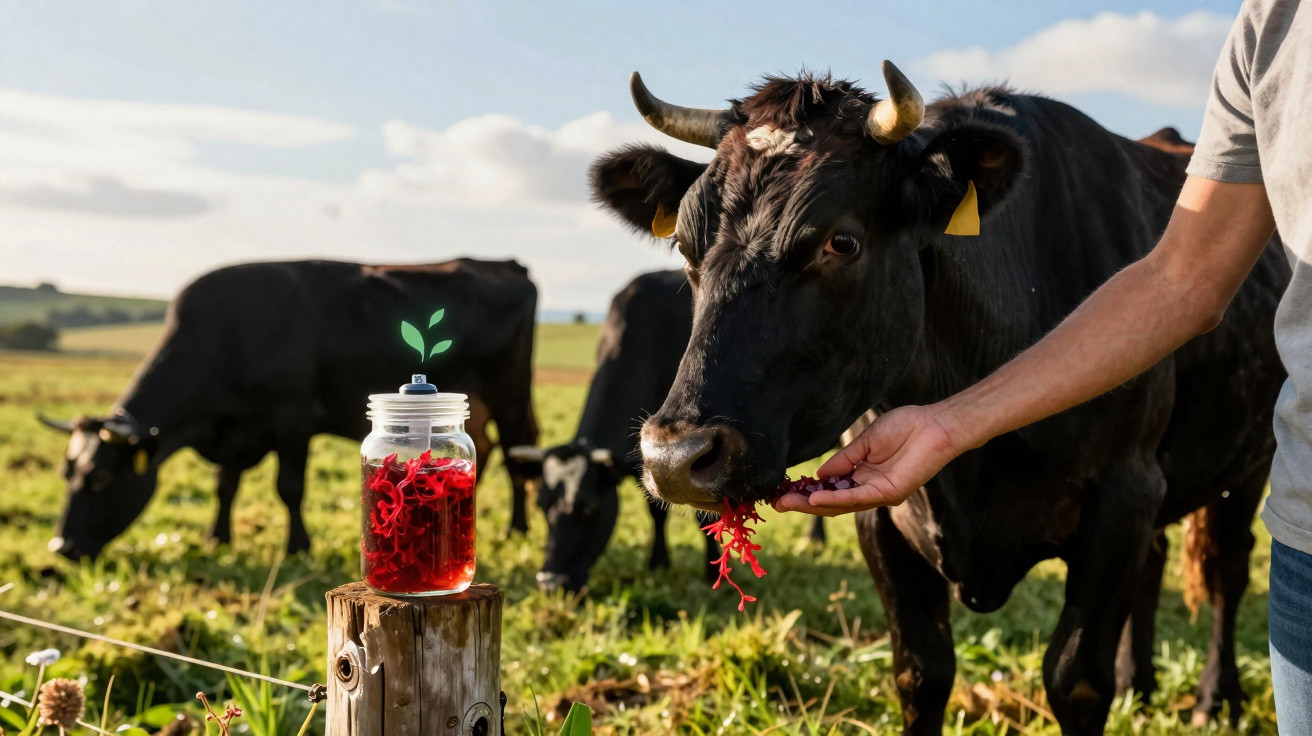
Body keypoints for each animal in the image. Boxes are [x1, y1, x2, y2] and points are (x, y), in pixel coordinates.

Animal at [39, 258, 539, 560]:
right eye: (66, 474)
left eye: (101, 479)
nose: (61, 547)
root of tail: (504, 265)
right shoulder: (235, 431)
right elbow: (225, 486)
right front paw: (217, 537)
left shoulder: (294, 418)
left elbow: (289, 487)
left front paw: (298, 546)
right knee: (488, 450)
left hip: (511, 397)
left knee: (516, 456)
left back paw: (516, 529)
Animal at [588, 63, 1288, 735]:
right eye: (684, 244)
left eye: (842, 241)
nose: (677, 457)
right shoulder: (882, 517)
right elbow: (921, 674)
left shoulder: (1124, 493)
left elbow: (1077, 681)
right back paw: (1139, 682)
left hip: (1250, 461)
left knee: (1228, 572)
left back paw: (1215, 698)